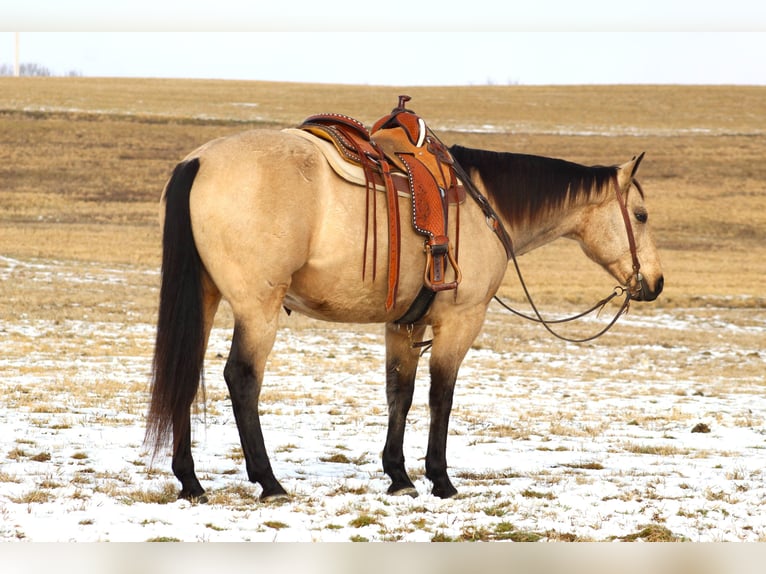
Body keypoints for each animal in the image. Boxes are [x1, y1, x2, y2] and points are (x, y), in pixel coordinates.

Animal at [146, 104, 664, 504]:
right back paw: (269, 482)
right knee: (242, 378)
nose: (655, 283)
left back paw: (190, 482)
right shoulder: (460, 320)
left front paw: (398, 476)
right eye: (640, 215)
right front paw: (441, 479)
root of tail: (198, 162)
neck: (484, 204)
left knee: (186, 372)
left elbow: (401, 393)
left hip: (205, 297)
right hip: (258, 307)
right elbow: (441, 397)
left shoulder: (404, 325)